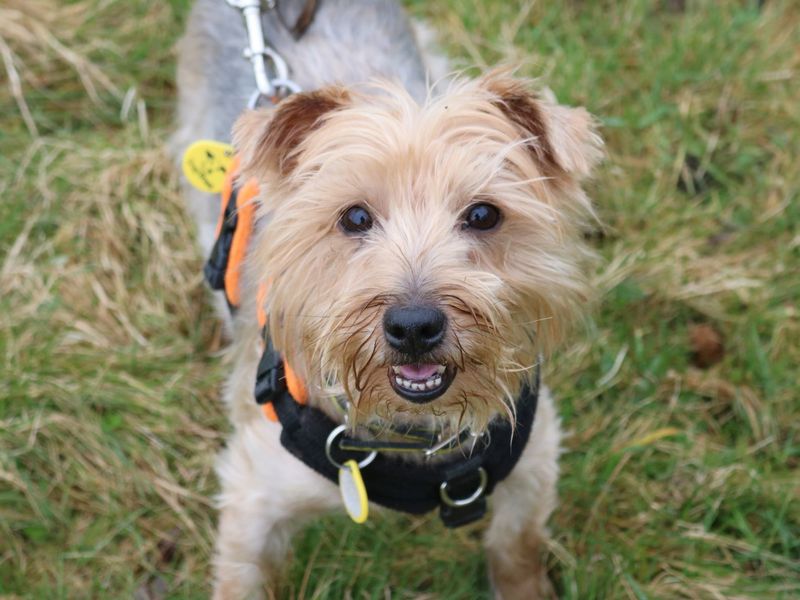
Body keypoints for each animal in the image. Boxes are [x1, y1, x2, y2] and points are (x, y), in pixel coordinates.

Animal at [175, 1, 600, 600]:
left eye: (483, 214)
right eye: (354, 217)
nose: (414, 325)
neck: (411, 434)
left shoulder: (533, 458)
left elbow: (516, 548)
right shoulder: (254, 494)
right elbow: (242, 579)